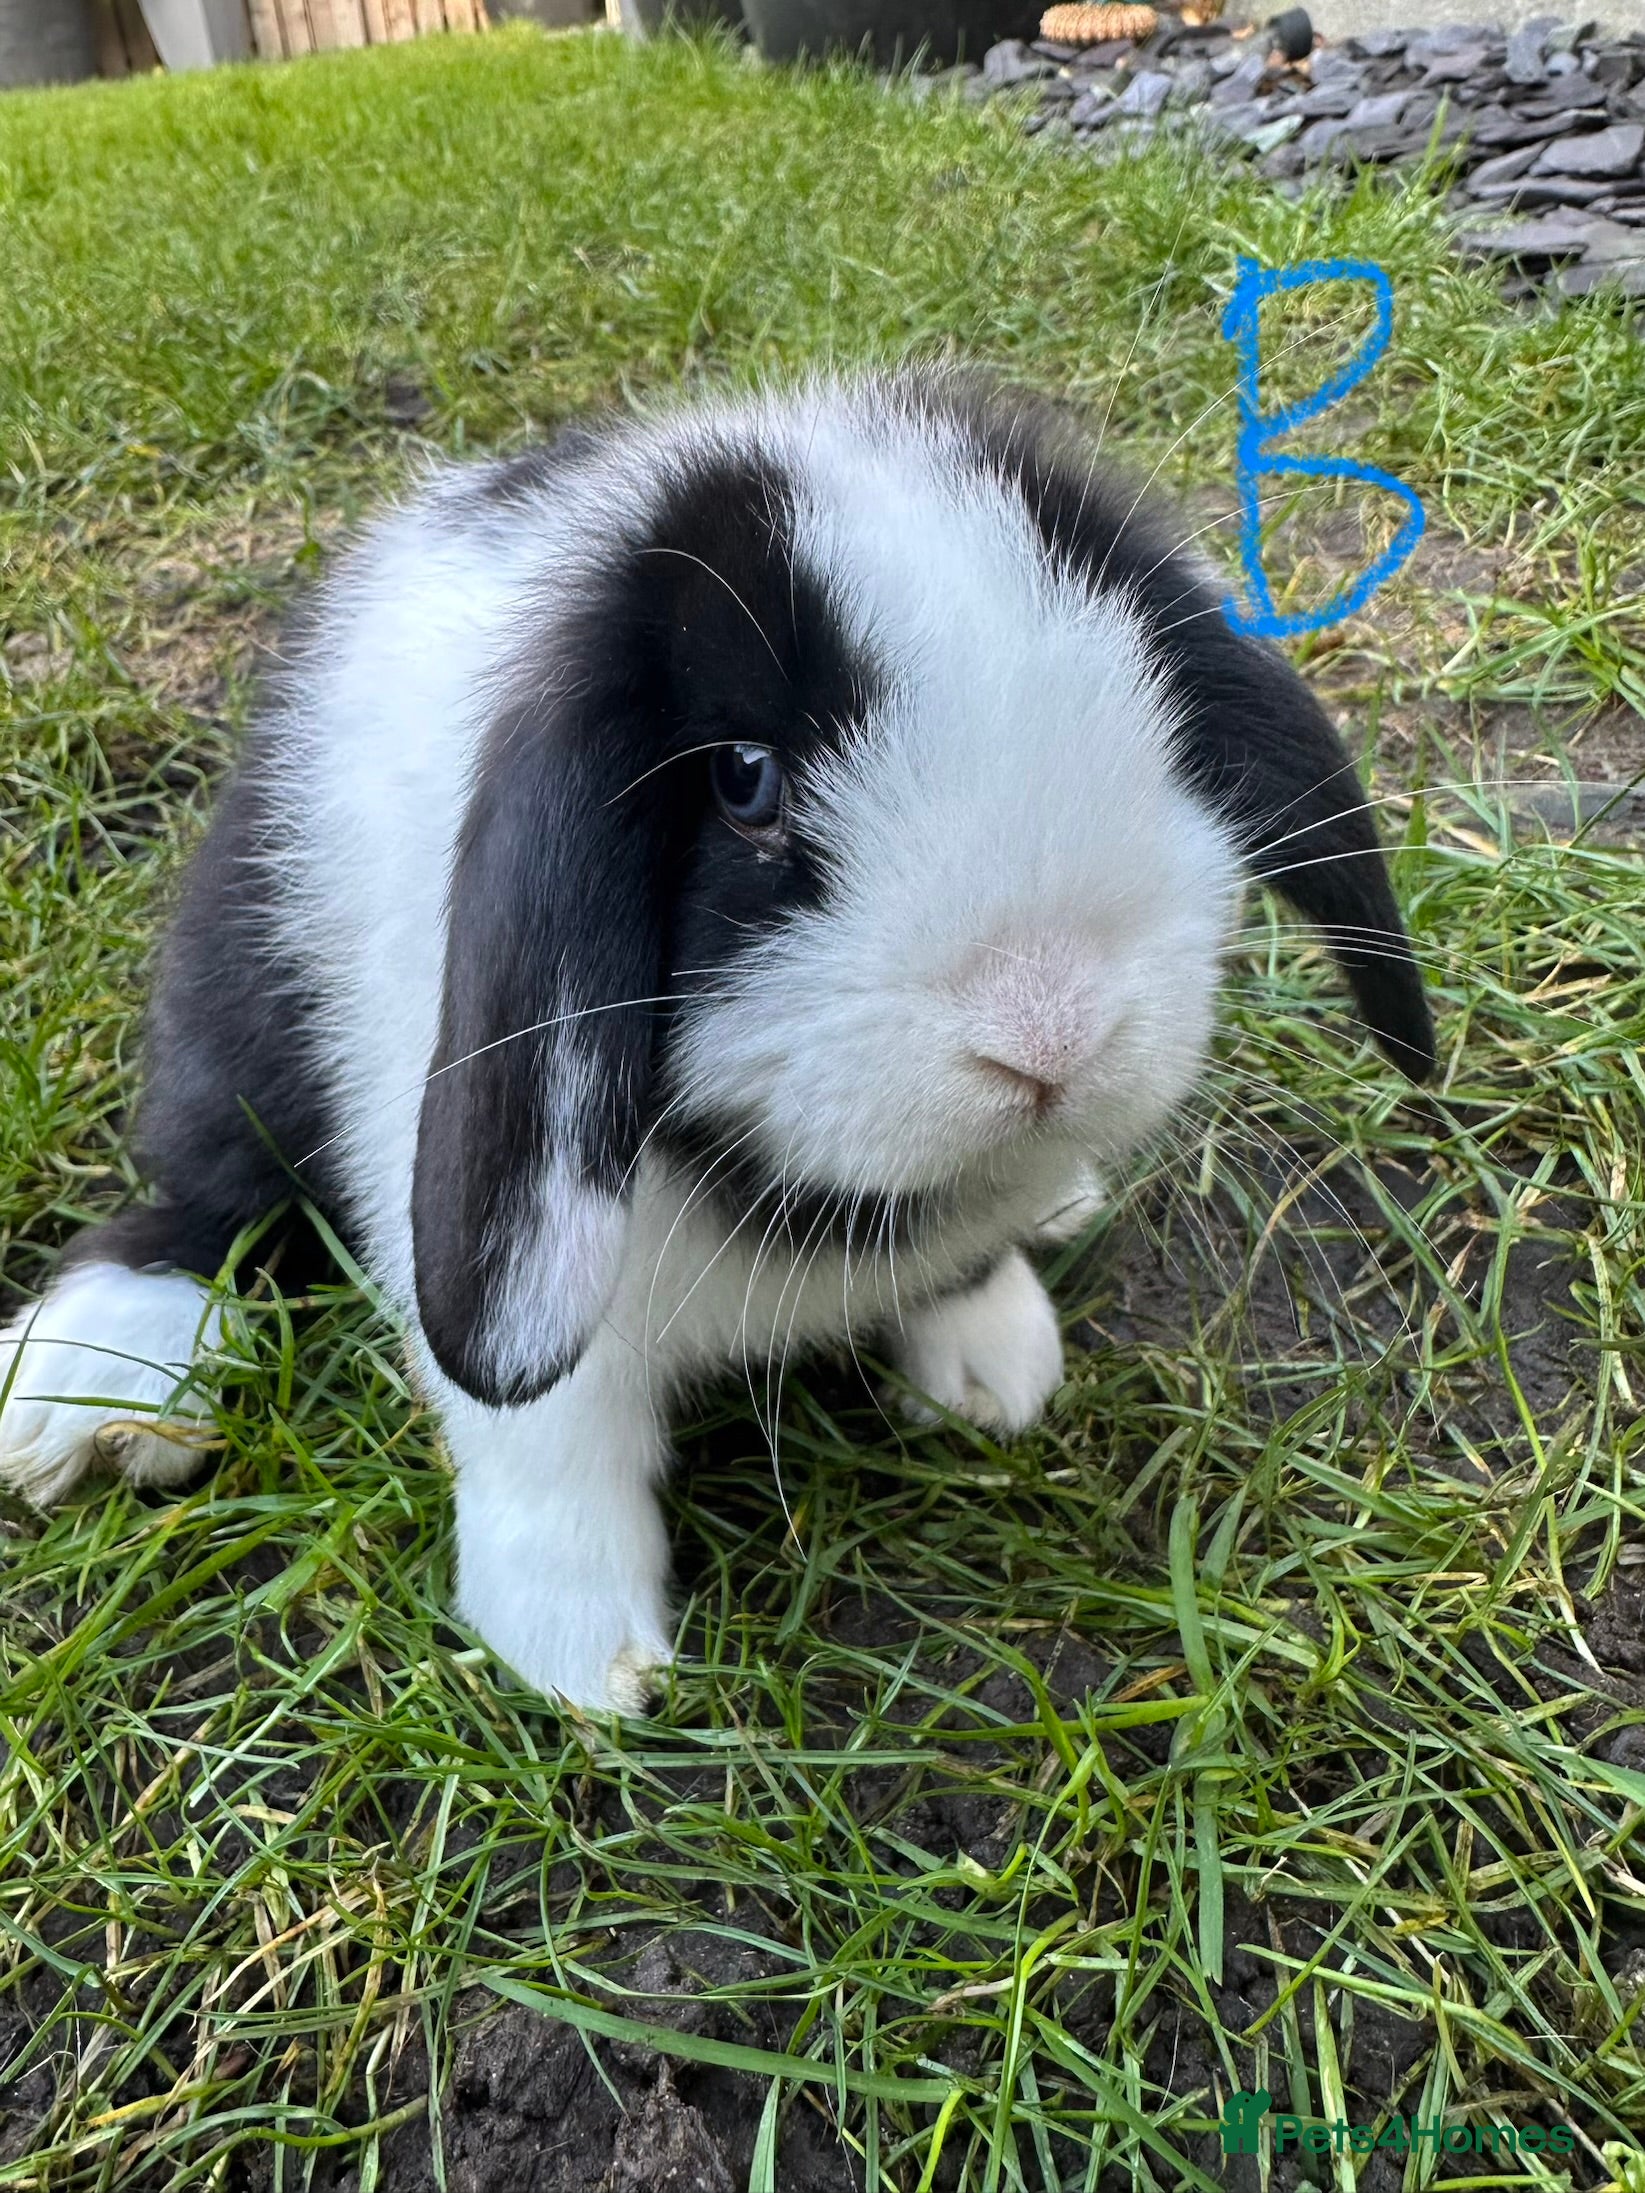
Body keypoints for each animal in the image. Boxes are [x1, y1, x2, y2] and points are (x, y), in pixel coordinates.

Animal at [0, 372, 1433, 1713]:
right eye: (745, 779)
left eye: (1149, 706)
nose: (1049, 1031)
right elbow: (550, 1448)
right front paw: (579, 1658)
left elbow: (962, 1257)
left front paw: (990, 1369)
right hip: (242, 1005)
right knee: (210, 1191)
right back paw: (96, 1387)